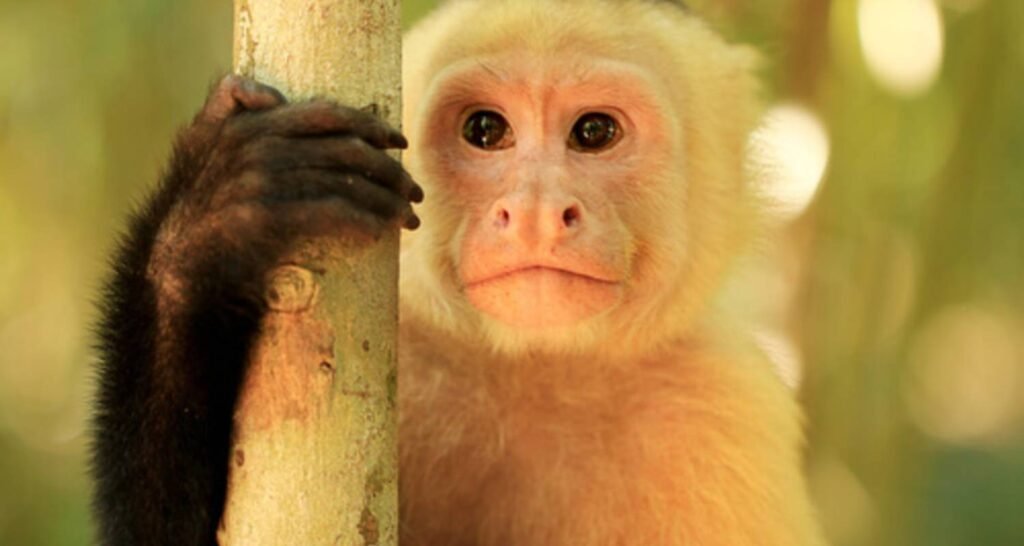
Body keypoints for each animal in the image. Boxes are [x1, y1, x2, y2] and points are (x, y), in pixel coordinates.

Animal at [92, 0, 825, 545]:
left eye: (593, 132)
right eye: (485, 129)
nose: (534, 212)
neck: (535, 375)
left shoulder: (725, 411)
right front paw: (211, 222)